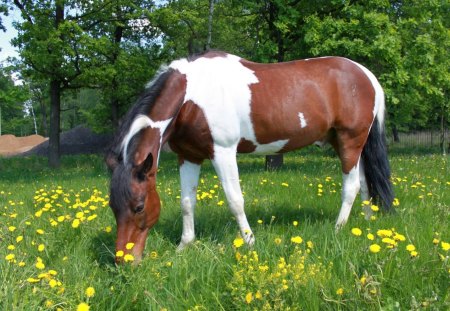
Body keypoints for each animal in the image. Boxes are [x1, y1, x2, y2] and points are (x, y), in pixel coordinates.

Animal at [105, 51, 394, 264]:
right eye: (112, 206)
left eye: (139, 206)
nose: (123, 261)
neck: (193, 96)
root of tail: (367, 75)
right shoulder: (188, 156)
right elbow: (187, 202)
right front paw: (184, 246)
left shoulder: (223, 152)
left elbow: (235, 201)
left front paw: (250, 242)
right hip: (348, 144)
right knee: (364, 183)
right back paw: (366, 224)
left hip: (349, 141)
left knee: (351, 186)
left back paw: (338, 229)